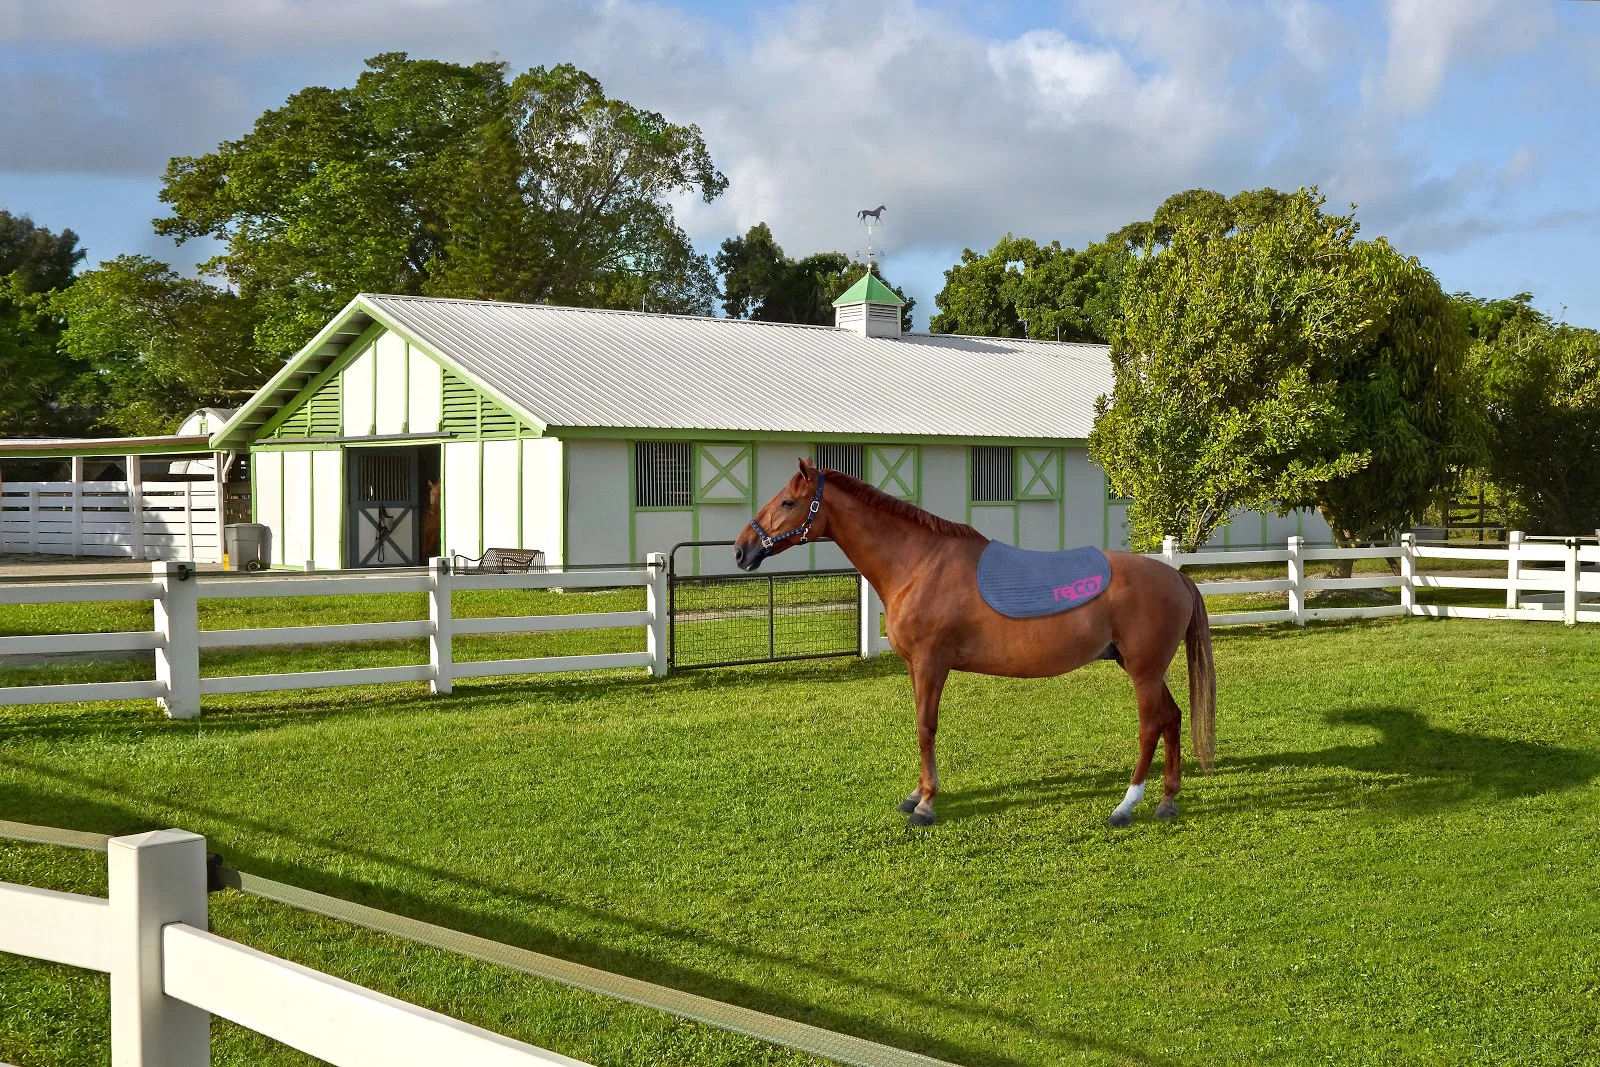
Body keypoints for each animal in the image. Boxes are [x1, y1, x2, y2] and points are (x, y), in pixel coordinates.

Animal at [733, 460, 1215, 828]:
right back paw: (1167, 801)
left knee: (1151, 726)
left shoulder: (931, 663)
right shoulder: (915, 666)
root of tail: (1176, 576)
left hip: (1143, 671)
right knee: (1172, 719)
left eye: (788, 502)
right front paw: (916, 794)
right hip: (1142, 667)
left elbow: (926, 726)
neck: (918, 563)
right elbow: (921, 725)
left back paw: (1126, 805)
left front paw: (926, 804)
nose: (741, 550)